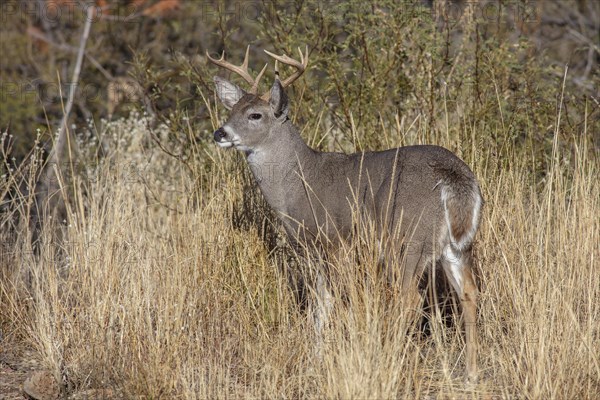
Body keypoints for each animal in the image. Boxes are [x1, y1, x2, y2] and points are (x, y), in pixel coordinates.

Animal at [206, 45, 482, 382]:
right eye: (231, 111)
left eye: (255, 115)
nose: (220, 133)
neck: (299, 182)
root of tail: (454, 177)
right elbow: (323, 304)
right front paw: (316, 357)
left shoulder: (331, 242)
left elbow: (325, 303)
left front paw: (321, 358)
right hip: (456, 247)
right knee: (469, 294)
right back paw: (471, 373)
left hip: (406, 241)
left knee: (411, 300)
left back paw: (391, 357)